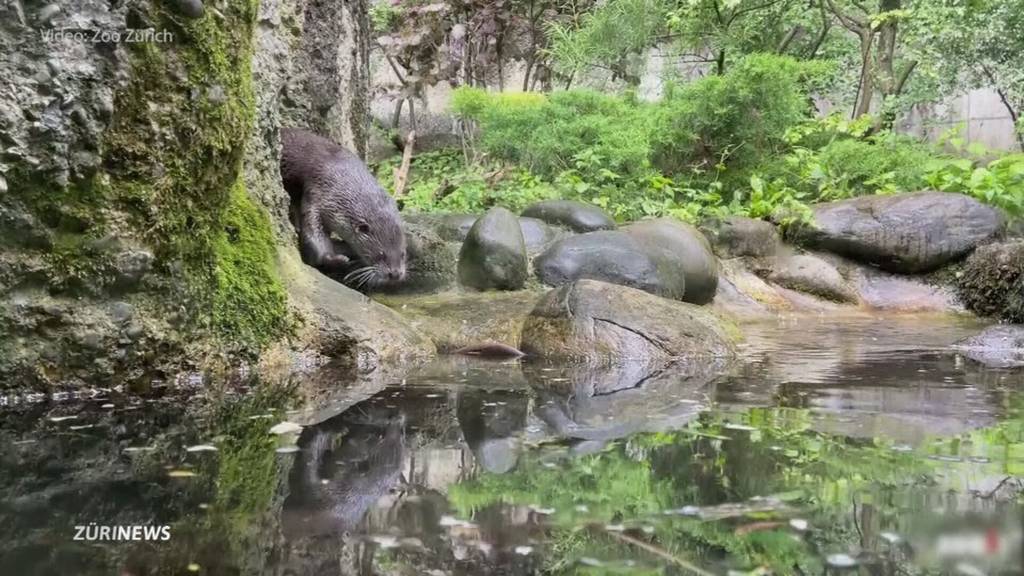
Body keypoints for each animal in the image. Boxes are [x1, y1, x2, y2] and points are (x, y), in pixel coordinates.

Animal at [282, 127, 409, 284]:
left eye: (403, 254)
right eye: (381, 255)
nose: (395, 274)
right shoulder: (316, 194)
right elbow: (313, 232)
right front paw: (334, 259)